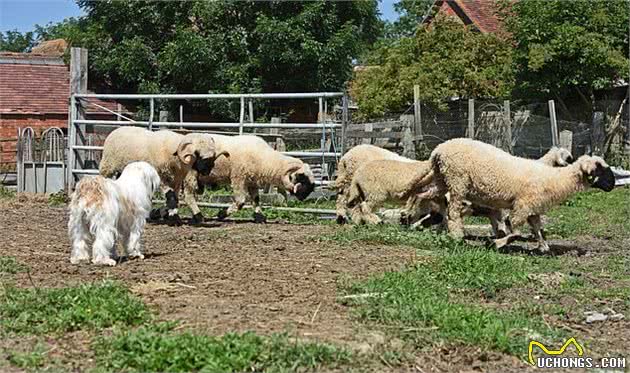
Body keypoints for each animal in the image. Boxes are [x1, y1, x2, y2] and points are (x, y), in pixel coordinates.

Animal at [99, 126, 227, 224]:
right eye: (196, 152)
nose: (208, 169)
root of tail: (116, 130)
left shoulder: (176, 180)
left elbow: (175, 198)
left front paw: (169, 215)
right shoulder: (161, 178)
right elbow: (171, 197)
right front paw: (173, 218)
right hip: (107, 166)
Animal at [186, 133, 316, 221]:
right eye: (301, 176)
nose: (304, 196)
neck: (264, 159)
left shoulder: (252, 181)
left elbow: (256, 199)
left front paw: (260, 217)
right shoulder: (238, 178)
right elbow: (241, 201)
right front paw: (221, 214)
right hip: (190, 174)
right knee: (188, 196)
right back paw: (199, 216)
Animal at [424, 138, 616, 251]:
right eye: (600, 169)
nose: (612, 185)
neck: (553, 180)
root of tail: (438, 150)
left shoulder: (532, 210)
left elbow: (538, 229)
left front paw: (544, 248)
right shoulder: (521, 207)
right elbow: (515, 232)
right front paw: (494, 243)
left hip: (442, 180)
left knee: (438, 203)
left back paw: (441, 230)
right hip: (457, 182)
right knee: (453, 212)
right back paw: (457, 237)